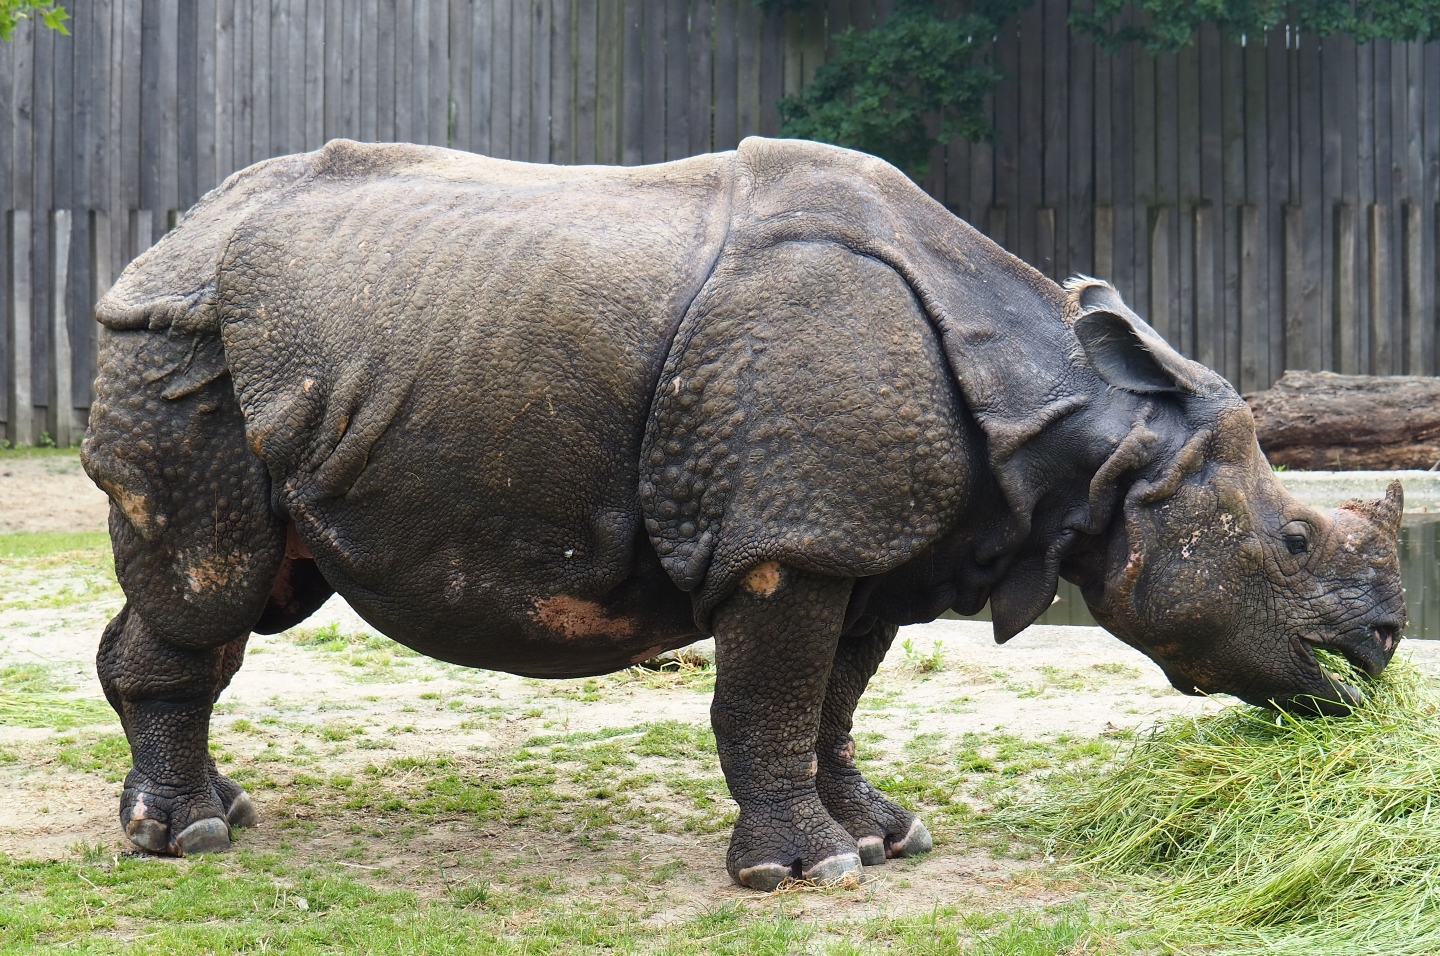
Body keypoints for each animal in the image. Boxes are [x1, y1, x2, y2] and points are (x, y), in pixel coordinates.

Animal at [82, 137, 1406, 890]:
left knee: (253, 588)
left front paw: (884, 834)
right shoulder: (791, 533)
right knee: (210, 578)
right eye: (1291, 541)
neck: (1088, 429)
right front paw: (804, 872)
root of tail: (171, 236)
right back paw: (187, 840)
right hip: (183, 340)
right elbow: (773, 689)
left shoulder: (866, 539)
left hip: (283, 336)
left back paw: (216, 812)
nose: (1388, 640)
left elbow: (833, 697)